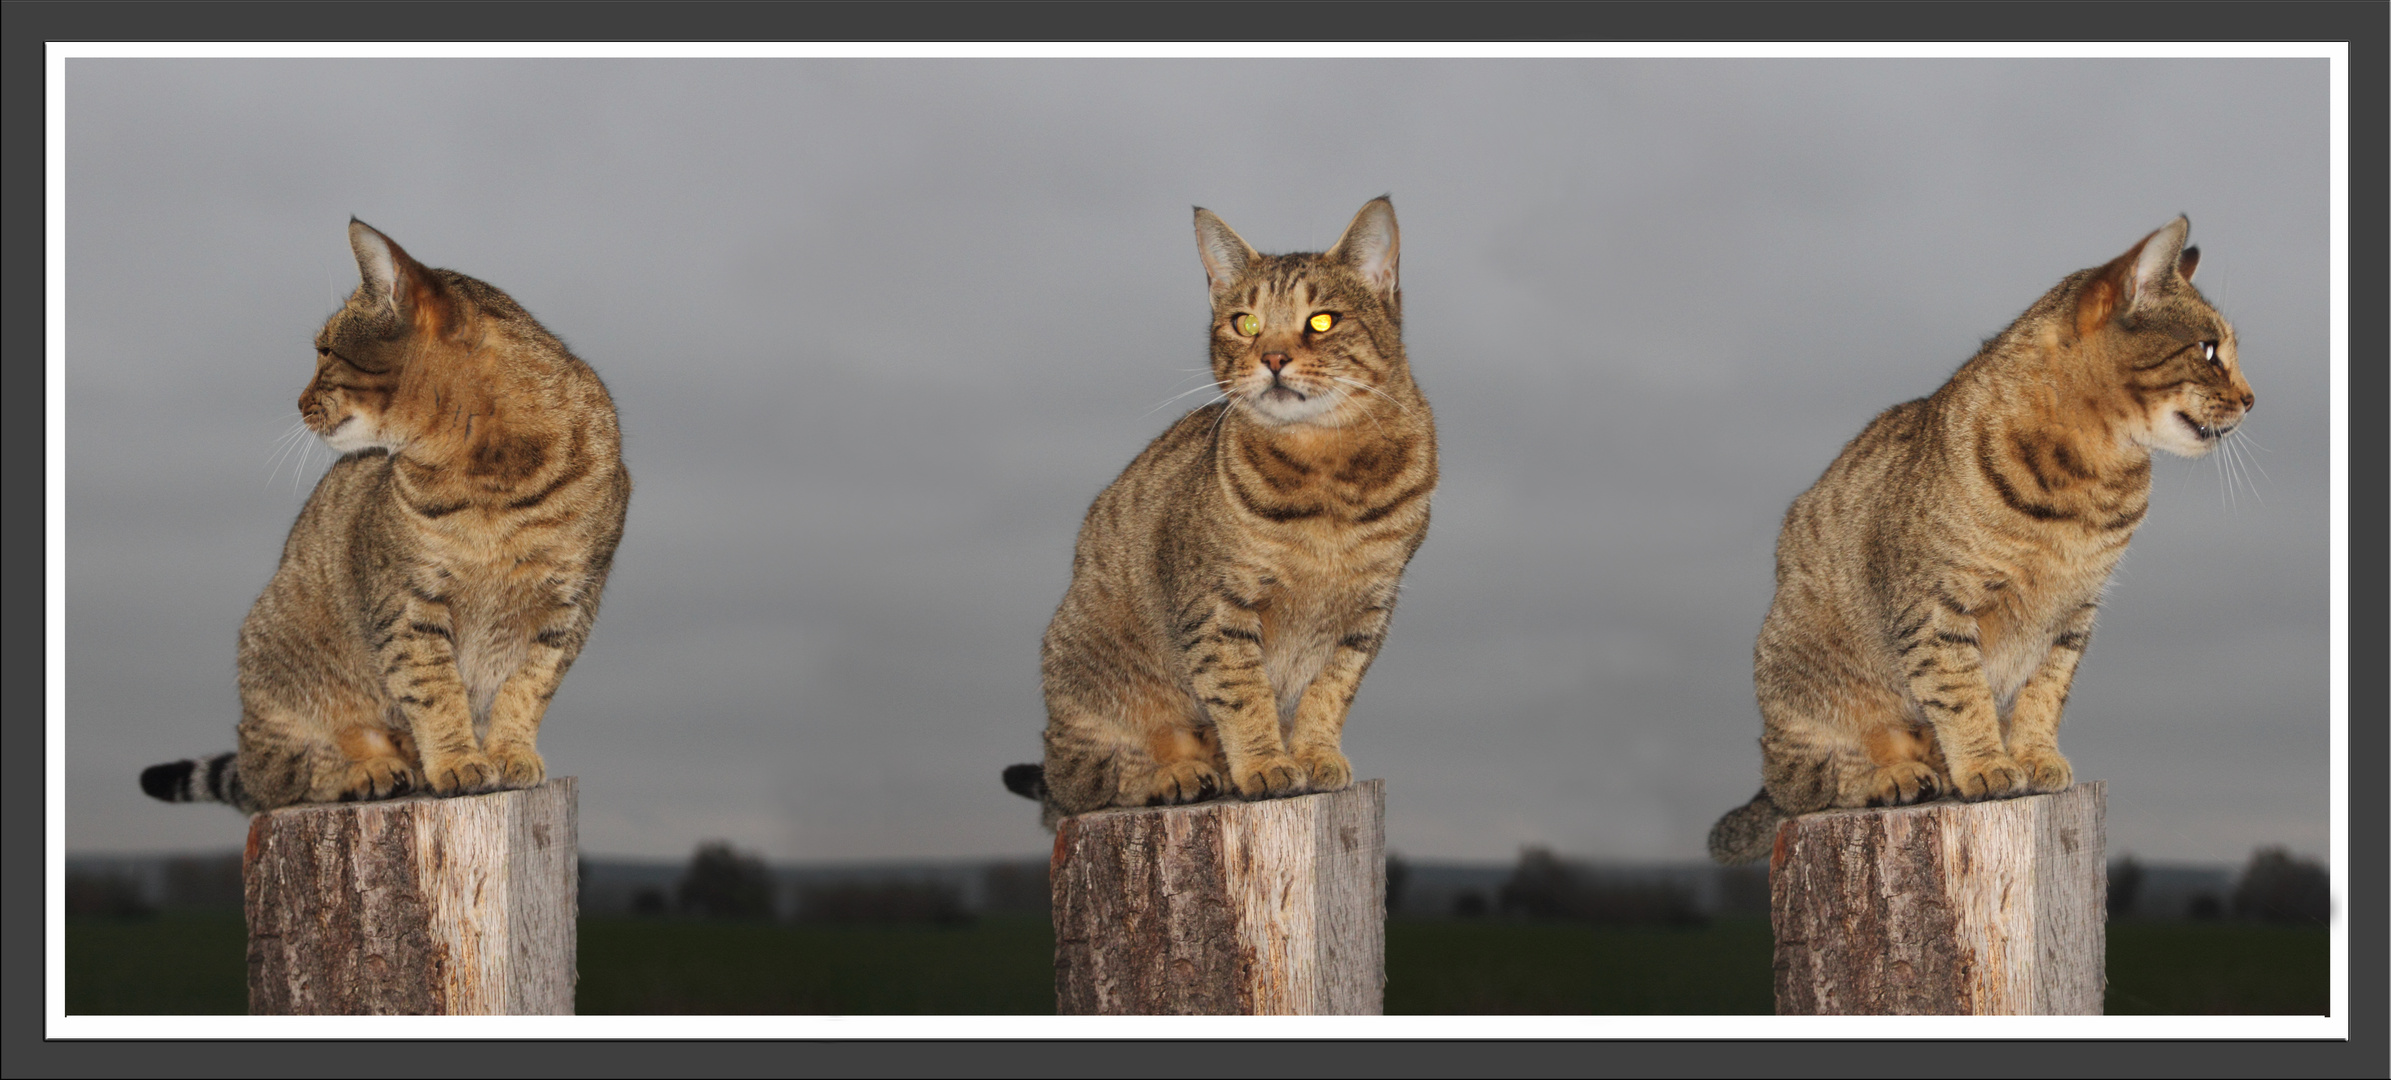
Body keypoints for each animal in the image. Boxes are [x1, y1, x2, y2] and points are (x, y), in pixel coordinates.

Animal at [138, 219, 626, 812]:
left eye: (326, 351)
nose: (298, 400)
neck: (491, 478)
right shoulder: (406, 603)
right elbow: (435, 691)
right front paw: (458, 761)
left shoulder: (567, 610)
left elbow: (526, 688)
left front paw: (509, 753)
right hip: (278, 675)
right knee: (284, 778)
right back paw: (370, 770)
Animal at [994, 195, 1425, 826]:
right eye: (1245, 322)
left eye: (1322, 320)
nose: (1273, 357)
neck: (1328, 476)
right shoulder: (1217, 606)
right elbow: (1243, 693)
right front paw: (1267, 763)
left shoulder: (1367, 614)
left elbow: (1329, 691)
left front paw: (1315, 753)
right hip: (1088, 687)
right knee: (1093, 781)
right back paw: (1177, 774)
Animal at [1711, 217, 2247, 860]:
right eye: (2209, 349)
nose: (2251, 398)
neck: (2090, 484)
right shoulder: (1934, 609)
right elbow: (1961, 693)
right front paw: (1987, 764)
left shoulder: (2071, 616)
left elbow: (2044, 693)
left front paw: (2035, 755)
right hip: (1800, 694)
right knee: (1811, 783)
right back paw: (1897, 775)